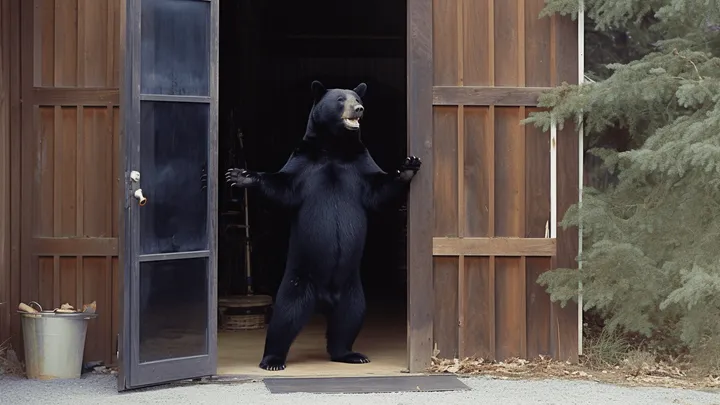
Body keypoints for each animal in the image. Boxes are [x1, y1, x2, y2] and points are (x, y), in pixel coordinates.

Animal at [225, 80, 421, 371]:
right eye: (341, 99)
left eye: (357, 98)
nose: (359, 109)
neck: (334, 147)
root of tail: (323, 300)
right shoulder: (303, 162)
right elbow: (282, 188)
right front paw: (240, 175)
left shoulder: (360, 163)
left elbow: (378, 189)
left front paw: (408, 166)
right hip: (297, 281)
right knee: (284, 318)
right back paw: (272, 360)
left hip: (352, 289)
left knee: (349, 319)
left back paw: (350, 353)